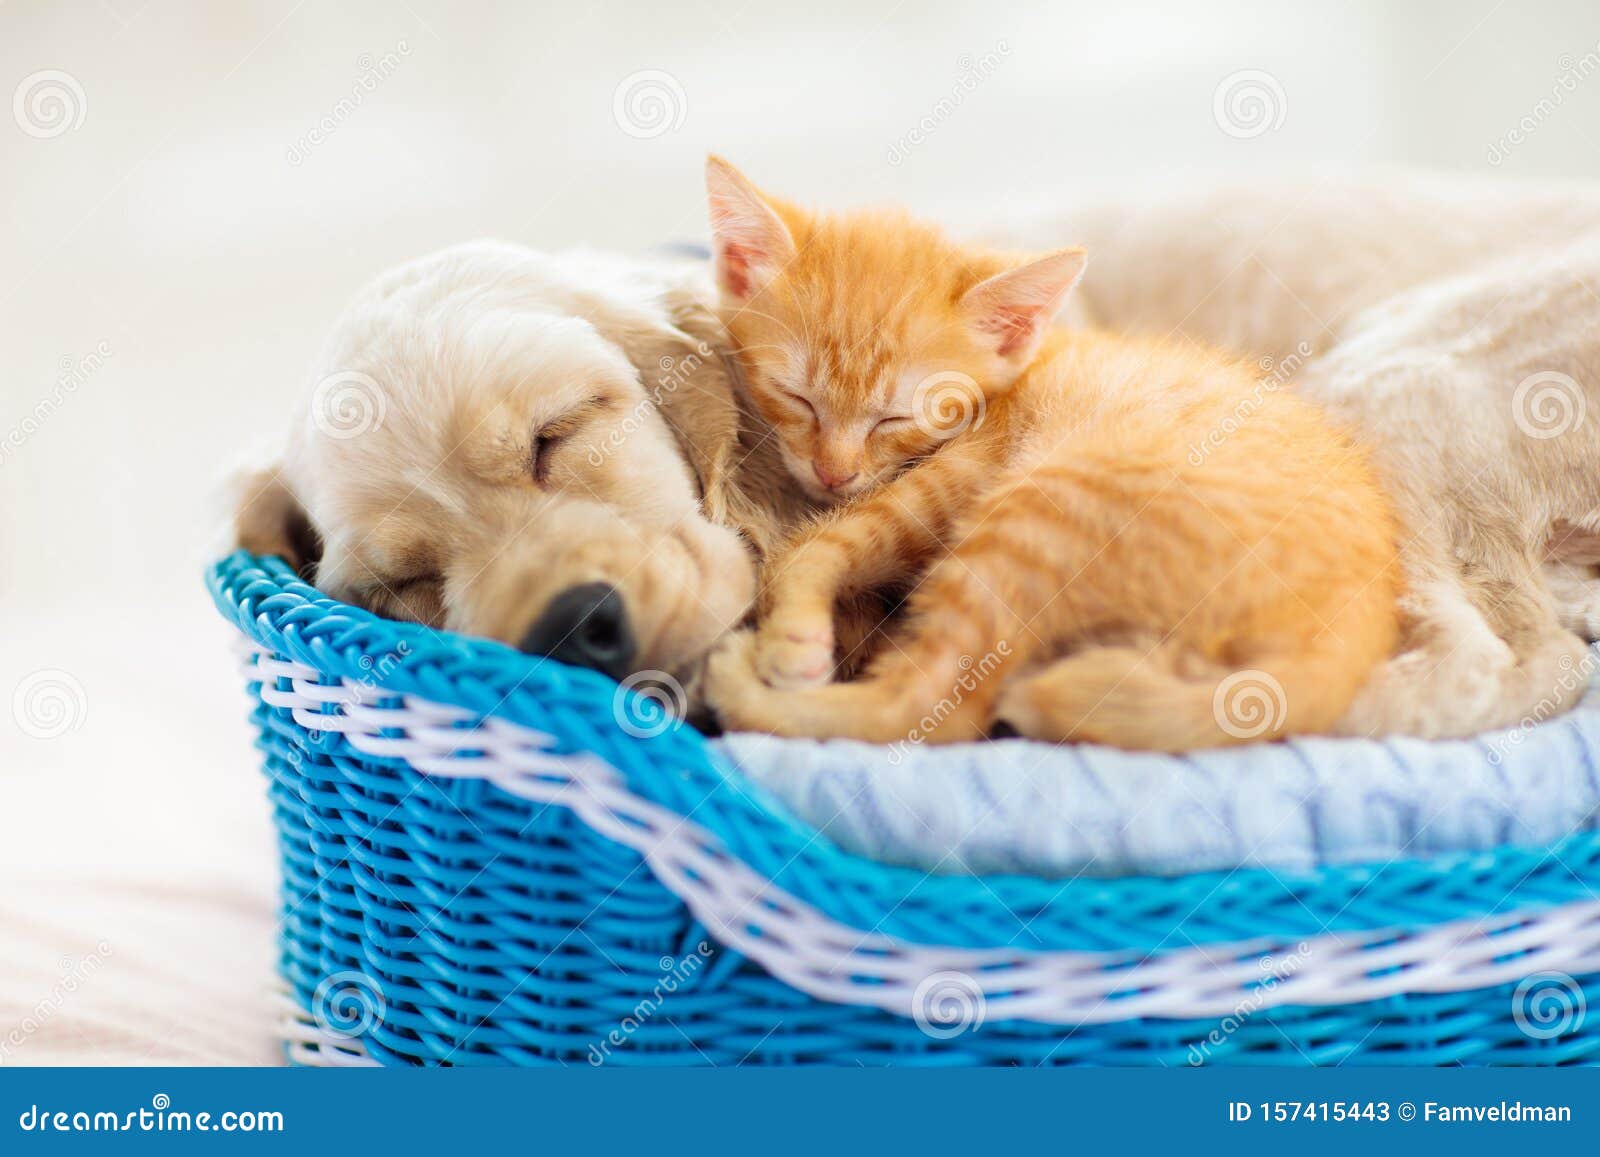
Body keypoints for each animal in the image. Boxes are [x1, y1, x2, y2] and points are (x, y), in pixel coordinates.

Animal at [700, 156, 1401, 752]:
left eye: (896, 417)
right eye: (795, 396)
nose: (833, 472)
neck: (1018, 377)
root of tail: (1353, 626)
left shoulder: (956, 473)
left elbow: (817, 543)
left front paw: (793, 634)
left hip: (1044, 507)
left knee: (932, 705)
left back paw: (741, 690)